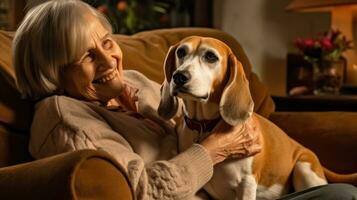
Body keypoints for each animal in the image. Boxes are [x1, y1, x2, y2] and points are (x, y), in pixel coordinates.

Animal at [157, 36, 326, 200]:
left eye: (211, 57)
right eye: (181, 52)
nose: (179, 76)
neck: (203, 125)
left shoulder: (246, 184)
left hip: (303, 168)